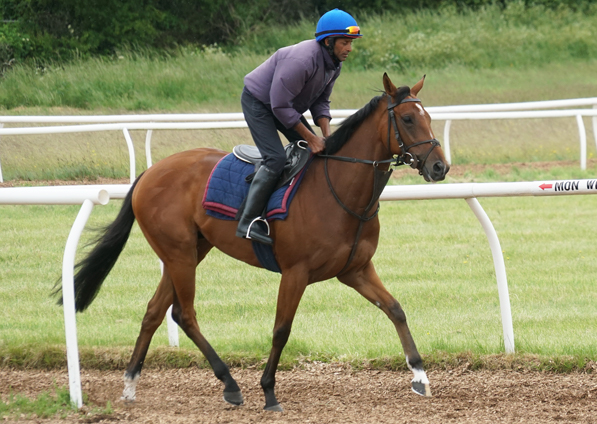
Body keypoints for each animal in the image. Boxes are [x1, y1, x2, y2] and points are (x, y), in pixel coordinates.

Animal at [64, 73, 448, 410]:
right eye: (408, 119)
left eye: (430, 117)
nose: (440, 167)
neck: (338, 190)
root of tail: (149, 173)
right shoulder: (295, 272)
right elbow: (281, 330)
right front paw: (269, 392)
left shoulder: (355, 270)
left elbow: (395, 309)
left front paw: (420, 376)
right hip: (179, 253)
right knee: (184, 313)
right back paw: (230, 384)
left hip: (188, 251)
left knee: (155, 311)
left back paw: (131, 383)